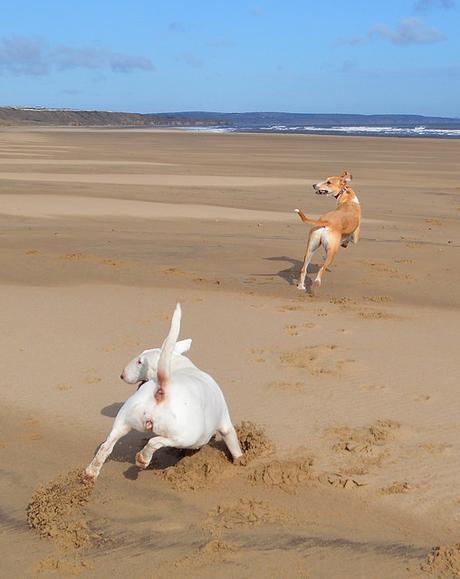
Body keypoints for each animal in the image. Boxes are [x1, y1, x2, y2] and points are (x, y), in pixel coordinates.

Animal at [85, 304, 243, 480]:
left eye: (139, 362)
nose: (122, 375)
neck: (178, 365)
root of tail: (163, 387)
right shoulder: (225, 424)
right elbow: (234, 445)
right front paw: (241, 462)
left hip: (123, 421)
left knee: (106, 446)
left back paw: (91, 472)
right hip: (186, 435)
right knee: (156, 442)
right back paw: (143, 458)